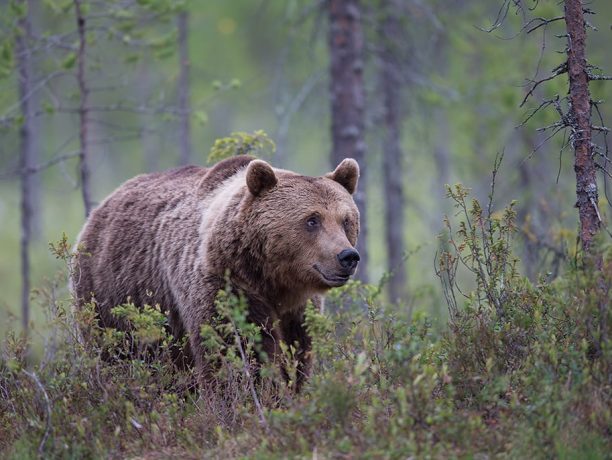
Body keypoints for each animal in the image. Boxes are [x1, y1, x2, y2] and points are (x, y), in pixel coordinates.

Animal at [73, 155, 358, 388]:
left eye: (346, 220)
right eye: (312, 220)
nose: (348, 256)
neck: (272, 280)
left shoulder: (298, 310)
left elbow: (297, 355)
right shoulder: (223, 285)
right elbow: (234, 348)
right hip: (110, 297)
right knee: (117, 353)